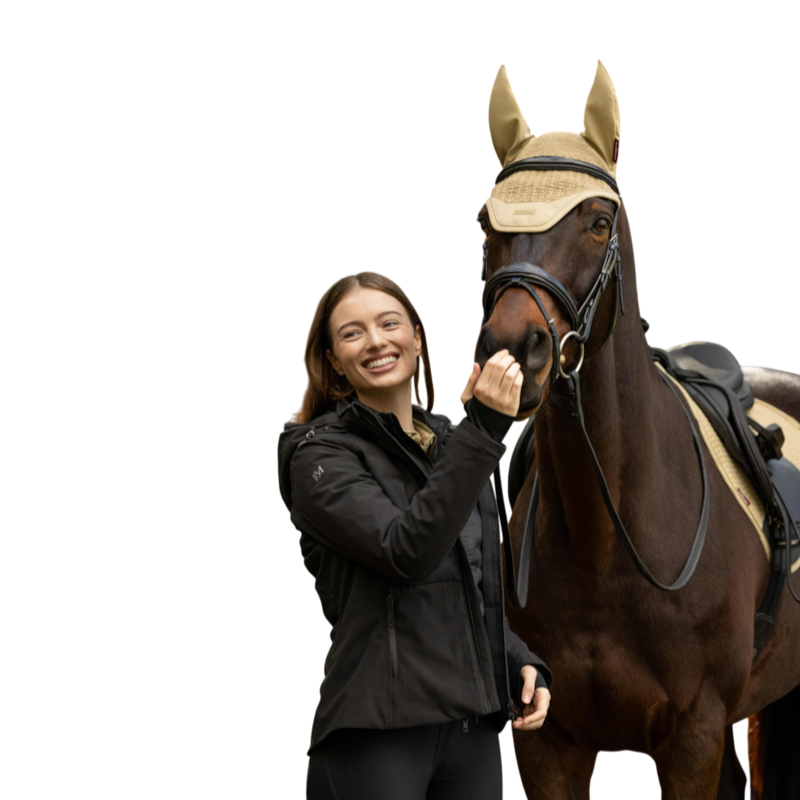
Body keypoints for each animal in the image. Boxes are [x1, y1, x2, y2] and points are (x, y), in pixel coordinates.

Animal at [475, 61, 800, 799]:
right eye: (485, 224)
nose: (514, 349)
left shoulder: (692, 737)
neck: (608, 538)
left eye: (598, 222)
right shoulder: (548, 745)